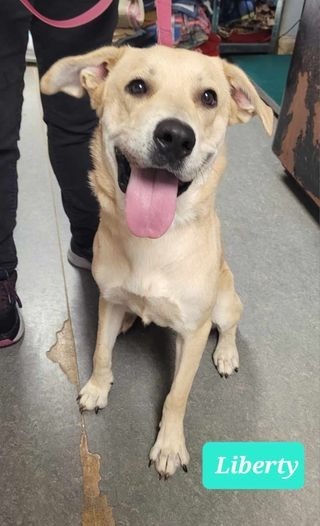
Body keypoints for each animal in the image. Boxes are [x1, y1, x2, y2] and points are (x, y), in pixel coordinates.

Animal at [41, 47, 274, 480]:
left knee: (230, 327)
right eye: (137, 86)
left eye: (210, 98)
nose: (176, 137)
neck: (153, 244)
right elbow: (100, 352)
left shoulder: (194, 332)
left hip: (225, 303)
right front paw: (97, 389)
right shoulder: (108, 299)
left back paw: (227, 354)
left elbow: (177, 394)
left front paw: (168, 446)